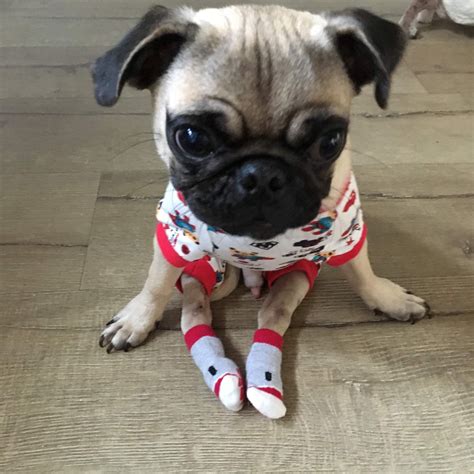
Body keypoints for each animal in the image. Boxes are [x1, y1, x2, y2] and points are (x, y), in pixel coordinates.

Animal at [91, 4, 430, 418]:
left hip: (300, 273)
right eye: (192, 138)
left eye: (330, 142)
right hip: (206, 272)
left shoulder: (347, 233)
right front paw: (138, 318)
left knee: (271, 314)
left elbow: (362, 272)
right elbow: (156, 282)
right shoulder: (176, 235)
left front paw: (388, 299)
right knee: (194, 306)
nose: (262, 174)